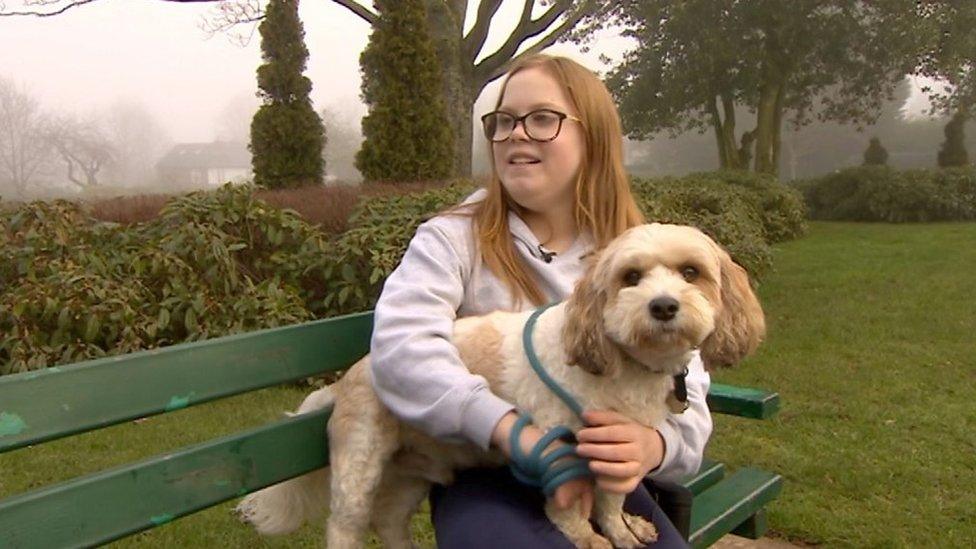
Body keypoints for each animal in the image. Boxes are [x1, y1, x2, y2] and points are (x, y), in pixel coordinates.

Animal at [234, 223, 764, 548]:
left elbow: (612, 502)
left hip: (410, 476)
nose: (663, 305)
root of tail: (349, 377)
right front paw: (585, 535)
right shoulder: (561, 446)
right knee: (345, 527)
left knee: (389, 522)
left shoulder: (621, 451)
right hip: (358, 471)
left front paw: (622, 528)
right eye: (630, 277)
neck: (623, 365)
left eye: (692, 272)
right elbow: (571, 505)